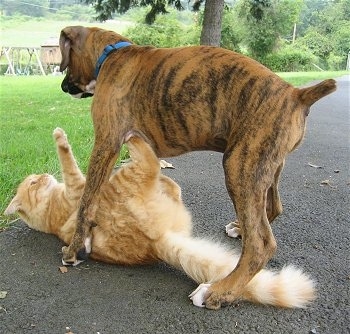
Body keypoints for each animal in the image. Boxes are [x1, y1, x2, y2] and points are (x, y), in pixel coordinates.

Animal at [3, 128, 314, 308]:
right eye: (33, 183)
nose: (42, 175)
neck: (50, 209)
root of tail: (156, 245)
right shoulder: (78, 186)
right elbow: (68, 159)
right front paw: (60, 138)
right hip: (130, 174)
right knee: (149, 159)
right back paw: (134, 137)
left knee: (165, 178)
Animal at [59, 26, 336, 310]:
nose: (62, 85)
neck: (113, 53)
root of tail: (296, 94)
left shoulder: (106, 143)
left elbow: (87, 201)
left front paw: (75, 248)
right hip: (266, 166)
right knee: (272, 209)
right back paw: (239, 229)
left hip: (239, 167)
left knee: (260, 244)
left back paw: (219, 291)